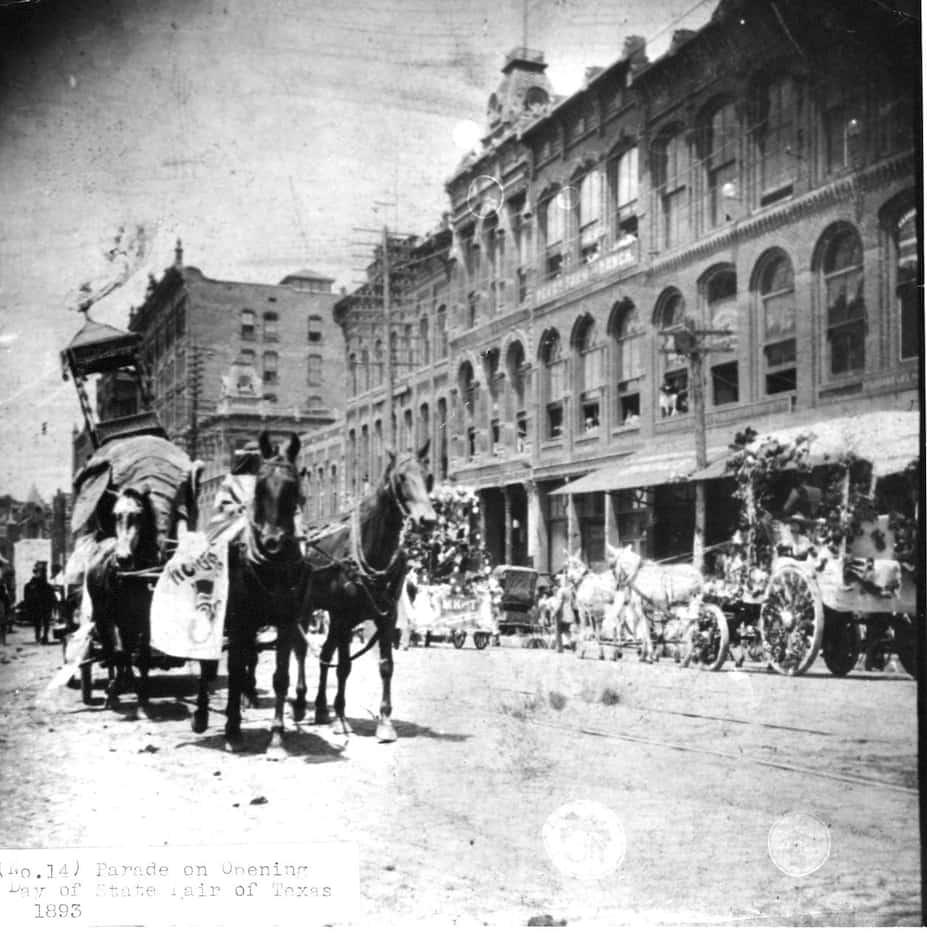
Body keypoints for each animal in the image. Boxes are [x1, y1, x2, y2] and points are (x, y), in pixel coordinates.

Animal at [223, 436, 314, 756]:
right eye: (261, 487)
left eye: (293, 487)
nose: (272, 541)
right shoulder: (239, 621)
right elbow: (235, 671)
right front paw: (232, 730)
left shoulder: (287, 622)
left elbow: (280, 677)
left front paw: (276, 736)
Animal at [302, 446, 436, 744]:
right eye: (400, 477)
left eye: (428, 476)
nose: (427, 520)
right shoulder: (344, 617)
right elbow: (343, 667)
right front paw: (341, 718)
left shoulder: (386, 618)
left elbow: (386, 666)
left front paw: (385, 722)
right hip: (309, 612)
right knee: (300, 651)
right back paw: (300, 702)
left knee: (324, 653)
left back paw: (320, 708)